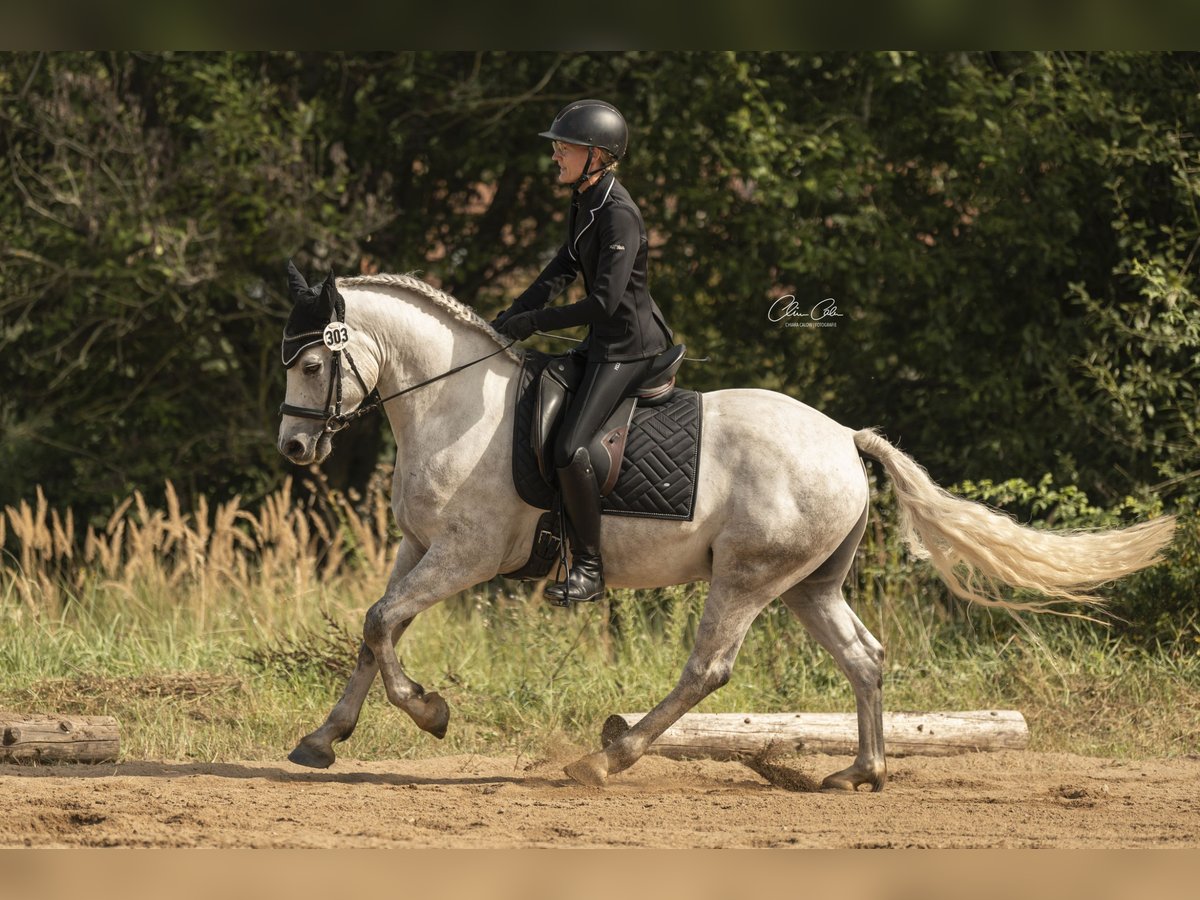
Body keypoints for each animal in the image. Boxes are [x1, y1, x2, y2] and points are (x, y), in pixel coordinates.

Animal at [278, 271, 1171, 792]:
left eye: (314, 364)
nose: (293, 449)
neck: (455, 405)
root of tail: (845, 438)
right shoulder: (418, 546)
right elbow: (374, 631)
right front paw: (324, 739)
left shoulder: (466, 553)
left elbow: (382, 623)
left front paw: (429, 712)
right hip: (809, 584)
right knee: (864, 658)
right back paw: (861, 772)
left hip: (745, 575)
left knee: (708, 668)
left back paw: (609, 756)